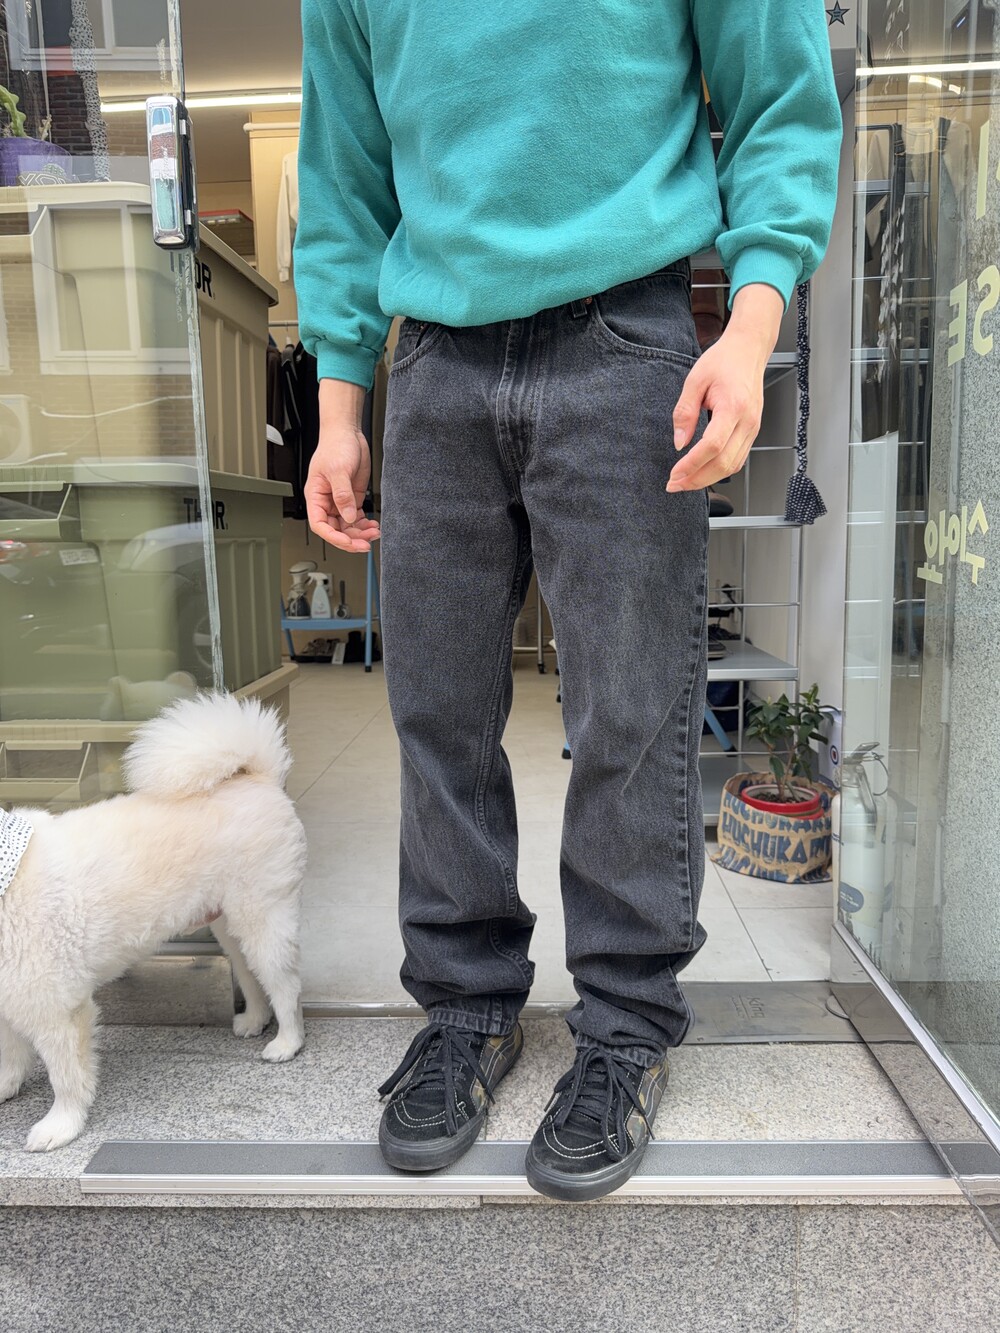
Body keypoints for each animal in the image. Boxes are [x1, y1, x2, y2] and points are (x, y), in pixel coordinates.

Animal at [0, 693, 307, 1152]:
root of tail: (255, 775)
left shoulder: (57, 1005)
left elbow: (66, 1077)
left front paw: (61, 1125)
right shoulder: (11, 995)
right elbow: (10, 1055)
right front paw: (7, 1087)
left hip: (263, 914)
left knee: (283, 983)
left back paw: (287, 1042)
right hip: (230, 922)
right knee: (250, 973)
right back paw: (254, 1020)